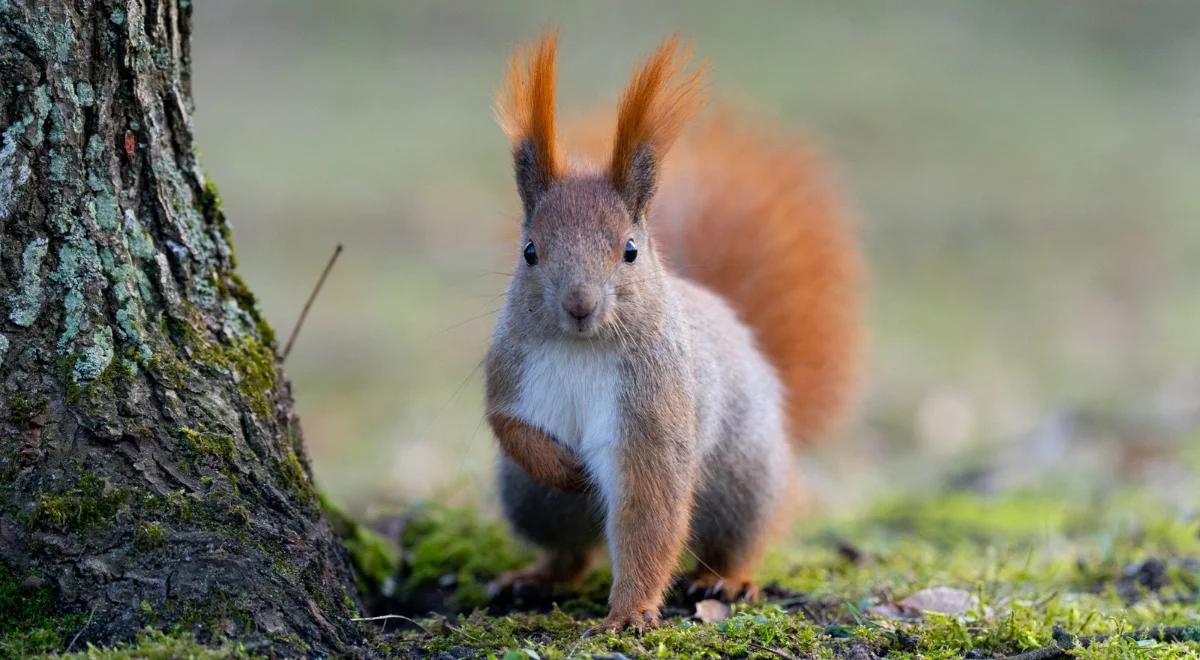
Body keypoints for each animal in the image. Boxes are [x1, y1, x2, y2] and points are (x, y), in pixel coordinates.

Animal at [482, 32, 859, 638]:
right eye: (530, 251)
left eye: (630, 250)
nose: (580, 306)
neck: (583, 348)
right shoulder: (510, 371)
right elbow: (507, 425)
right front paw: (565, 467)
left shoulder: (653, 417)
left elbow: (649, 516)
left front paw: (628, 614)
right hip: (529, 500)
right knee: (570, 551)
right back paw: (535, 577)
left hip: (744, 480)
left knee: (739, 540)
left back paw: (728, 580)